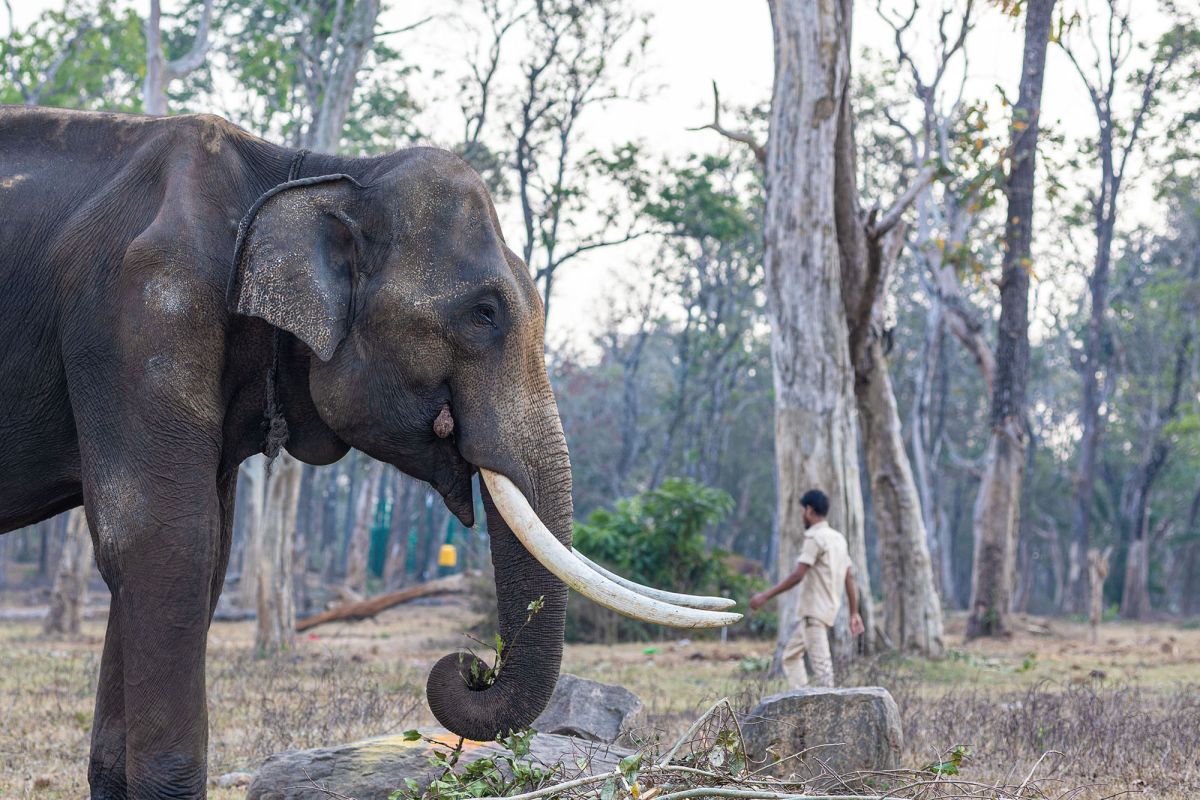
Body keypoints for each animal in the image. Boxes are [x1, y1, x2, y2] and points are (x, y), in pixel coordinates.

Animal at [0, 107, 739, 800]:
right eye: (484, 313)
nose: (470, 667)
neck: (311, 172)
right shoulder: (143, 314)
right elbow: (163, 543)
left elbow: (198, 558)